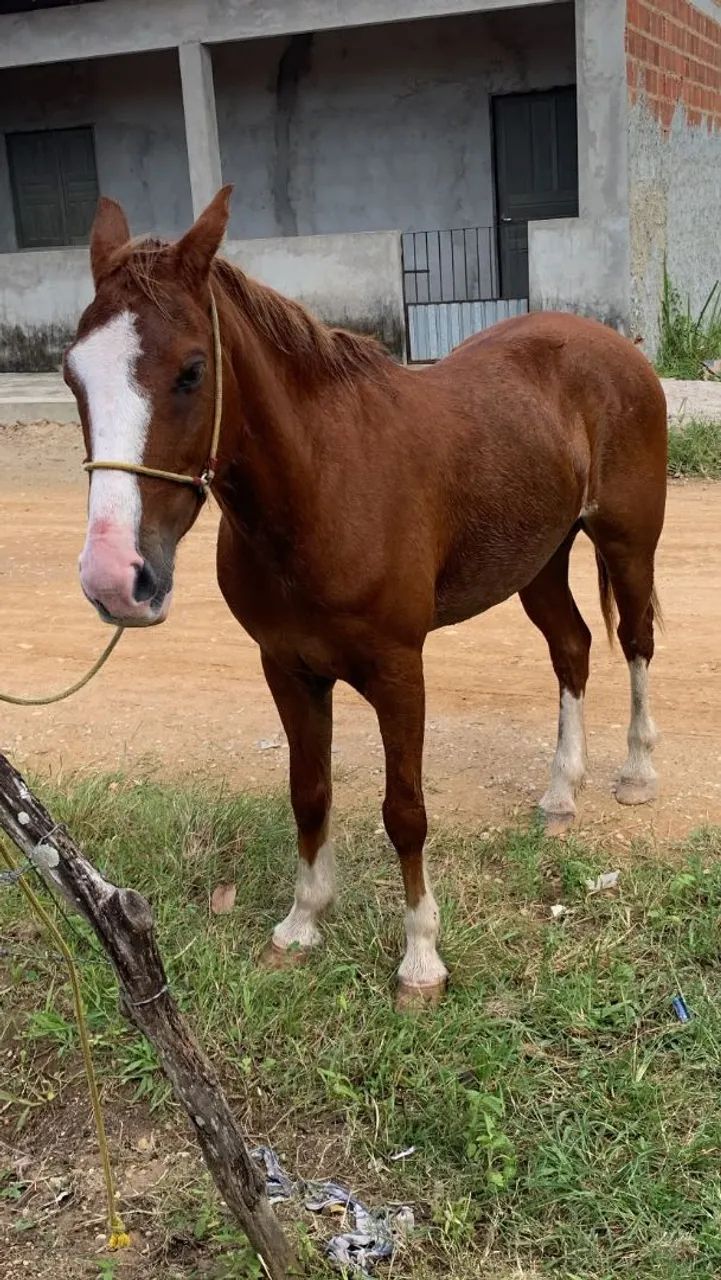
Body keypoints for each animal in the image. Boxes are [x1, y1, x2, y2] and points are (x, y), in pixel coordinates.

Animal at [64, 188, 667, 1008]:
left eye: (191, 371)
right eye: (73, 376)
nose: (114, 578)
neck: (323, 485)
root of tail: (618, 347)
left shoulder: (397, 670)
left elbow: (404, 811)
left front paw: (420, 960)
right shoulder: (287, 668)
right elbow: (309, 792)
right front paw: (301, 923)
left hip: (627, 543)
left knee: (634, 641)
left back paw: (635, 774)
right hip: (538, 559)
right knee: (572, 649)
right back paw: (560, 794)